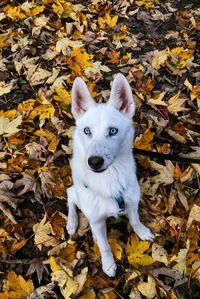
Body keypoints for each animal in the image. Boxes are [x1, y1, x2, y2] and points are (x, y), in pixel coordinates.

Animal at [66, 74, 154, 278]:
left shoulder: (131, 201)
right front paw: (108, 264)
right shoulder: (97, 220)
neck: (109, 178)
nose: (94, 162)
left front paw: (142, 231)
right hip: (79, 197)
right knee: (70, 195)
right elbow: (105, 246)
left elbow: (135, 220)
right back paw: (72, 222)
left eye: (113, 131)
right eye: (87, 131)